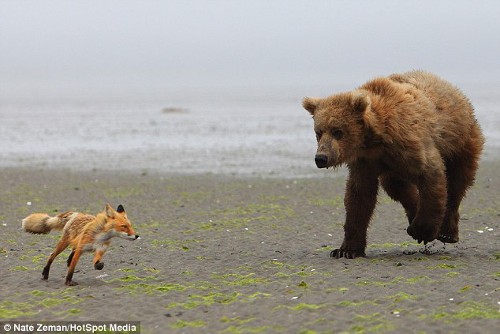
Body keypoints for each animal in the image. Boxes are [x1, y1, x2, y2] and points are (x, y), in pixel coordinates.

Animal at [302, 70, 482, 258]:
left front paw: (423, 231)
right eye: (318, 132)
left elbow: (431, 175)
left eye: (338, 131)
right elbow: (359, 197)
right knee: (395, 185)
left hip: (461, 141)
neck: (376, 138)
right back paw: (414, 213)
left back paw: (446, 231)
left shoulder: (411, 144)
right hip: (394, 169)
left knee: (457, 181)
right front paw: (346, 250)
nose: (321, 158)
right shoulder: (365, 162)